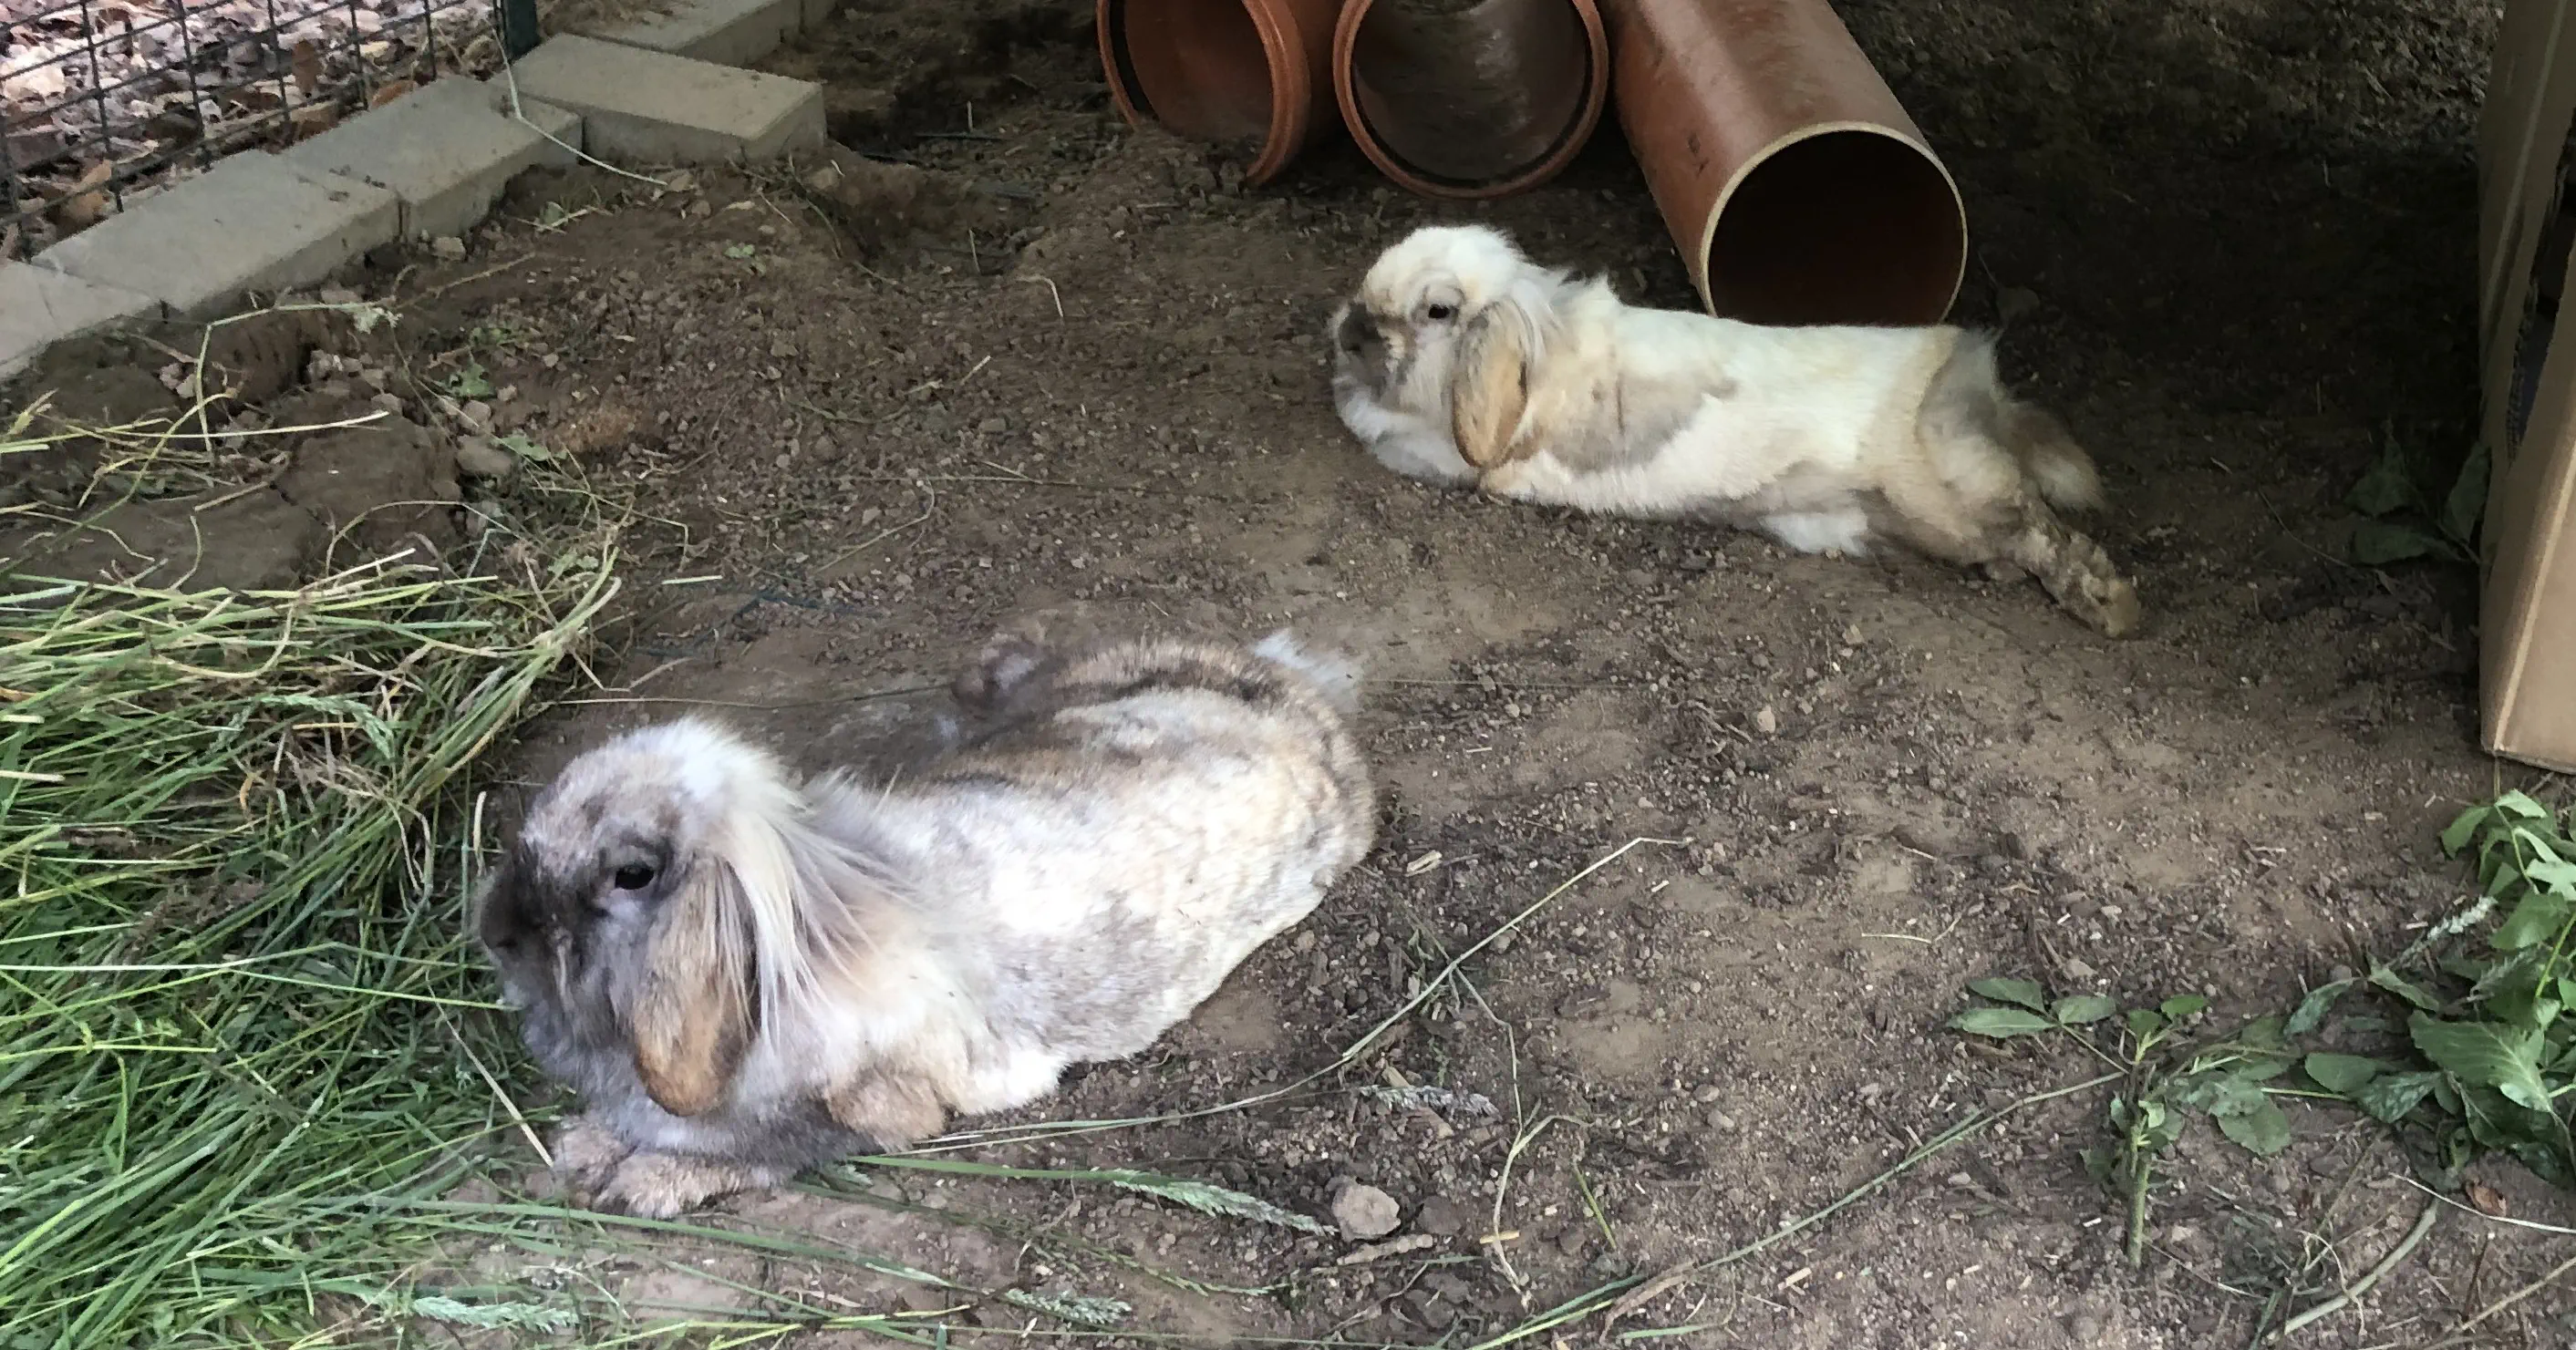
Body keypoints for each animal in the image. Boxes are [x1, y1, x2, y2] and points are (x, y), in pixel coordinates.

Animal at [473, 626, 1377, 1218]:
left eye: (631, 873)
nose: (496, 932)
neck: (786, 946)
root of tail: (1301, 694)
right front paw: (586, 1146)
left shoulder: (869, 1109)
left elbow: (762, 1152)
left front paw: (642, 1180)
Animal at [1326, 222, 2142, 639]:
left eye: (1437, 311)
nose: (1349, 333)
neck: (1541, 356)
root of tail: (1974, 387)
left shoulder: (1466, 458)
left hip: (1951, 490)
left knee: (2046, 533)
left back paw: (2111, 609)